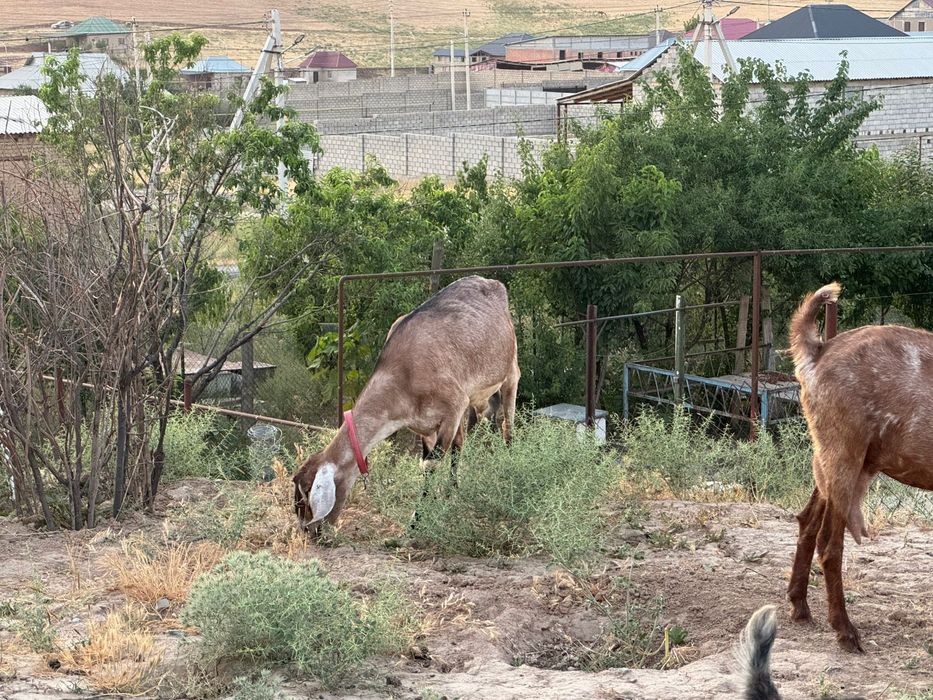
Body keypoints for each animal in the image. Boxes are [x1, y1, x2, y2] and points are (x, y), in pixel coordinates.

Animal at [293, 275, 521, 529]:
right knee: (472, 429)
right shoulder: (425, 424)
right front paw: (438, 501)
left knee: (507, 423)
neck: (403, 374)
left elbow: (431, 463)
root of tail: (490, 282)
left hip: (510, 369)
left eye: (306, 498)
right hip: (475, 397)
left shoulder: (453, 405)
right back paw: (454, 488)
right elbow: (431, 459)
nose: (309, 532)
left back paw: (509, 464)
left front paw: (417, 519)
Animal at [787, 283, 933, 652]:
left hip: (833, 459)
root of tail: (818, 351)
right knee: (829, 544)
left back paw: (800, 606)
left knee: (807, 521)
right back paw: (845, 631)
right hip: (844, 455)